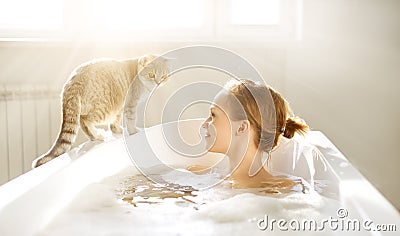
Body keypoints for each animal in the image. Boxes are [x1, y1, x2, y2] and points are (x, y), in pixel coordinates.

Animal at [31, 54, 169, 168]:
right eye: (151, 75)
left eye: (163, 76)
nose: (158, 82)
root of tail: (72, 82)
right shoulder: (130, 104)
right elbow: (130, 120)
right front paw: (134, 132)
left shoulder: (119, 107)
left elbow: (115, 121)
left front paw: (117, 130)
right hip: (103, 109)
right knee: (84, 120)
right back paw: (96, 135)